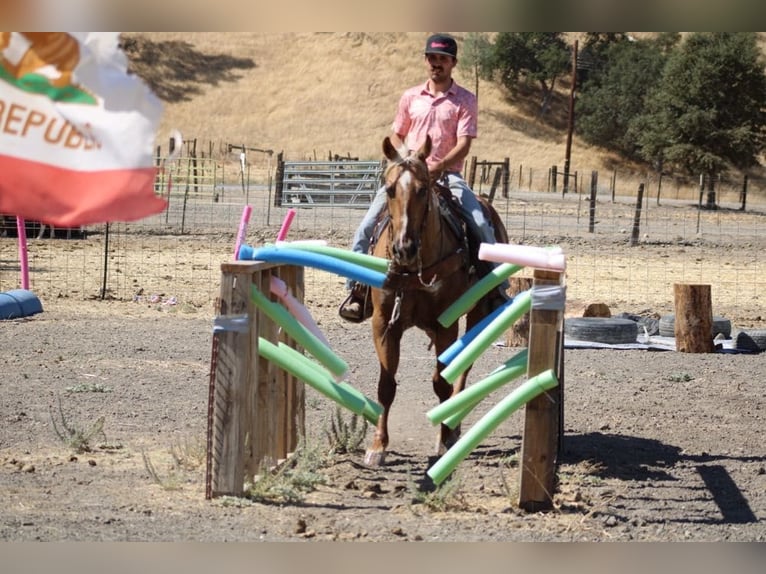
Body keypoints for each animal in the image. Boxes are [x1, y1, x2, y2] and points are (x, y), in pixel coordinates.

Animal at [364, 135, 508, 466]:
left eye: (422, 189)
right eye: (389, 189)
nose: (404, 248)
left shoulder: (446, 326)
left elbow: (441, 383)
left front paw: (444, 439)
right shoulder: (383, 323)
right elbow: (386, 386)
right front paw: (378, 446)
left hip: (479, 315)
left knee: (462, 370)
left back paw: (454, 425)